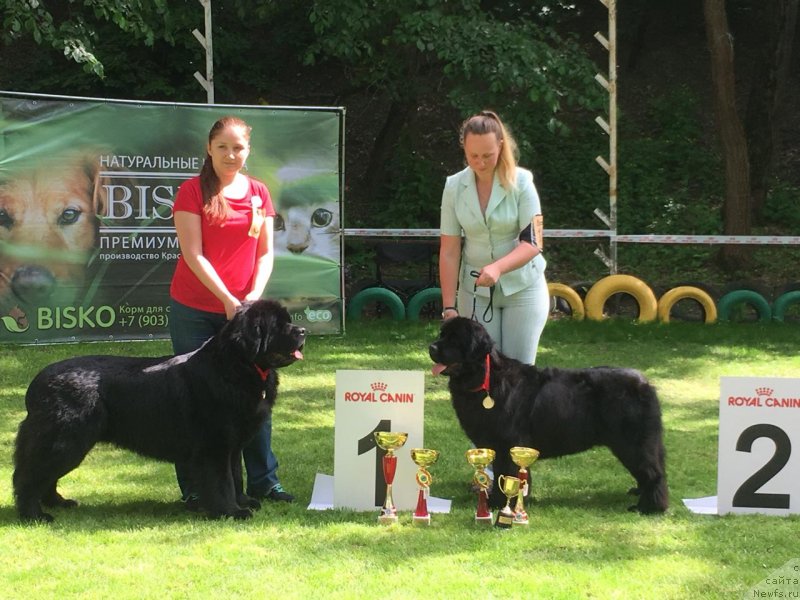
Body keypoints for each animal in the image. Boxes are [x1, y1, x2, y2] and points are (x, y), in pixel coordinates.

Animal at [12, 300, 306, 520]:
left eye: (288, 320)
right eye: (278, 325)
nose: (302, 330)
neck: (236, 366)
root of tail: (36, 384)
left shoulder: (232, 445)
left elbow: (236, 475)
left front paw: (243, 501)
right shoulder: (215, 446)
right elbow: (223, 481)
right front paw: (231, 511)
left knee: (45, 475)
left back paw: (58, 502)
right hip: (65, 440)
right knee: (29, 475)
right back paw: (35, 514)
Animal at [432, 316, 668, 512]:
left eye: (455, 339)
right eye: (441, 334)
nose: (431, 347)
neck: (485, 379)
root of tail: (645, 383)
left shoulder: (507, 443)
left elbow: (506, 473)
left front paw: (499, 504)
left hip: (632, 442)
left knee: (653, 472)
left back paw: (649, 507)